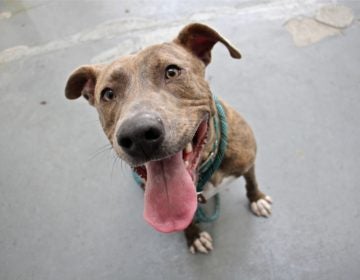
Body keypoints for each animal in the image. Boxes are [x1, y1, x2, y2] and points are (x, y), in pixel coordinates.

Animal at [65, 22, 272, 254]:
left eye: (172, 71)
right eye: (108, 94)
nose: (138, 135)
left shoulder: (247, 160)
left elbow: (251, 180)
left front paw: (257, 198)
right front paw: (194, 236)